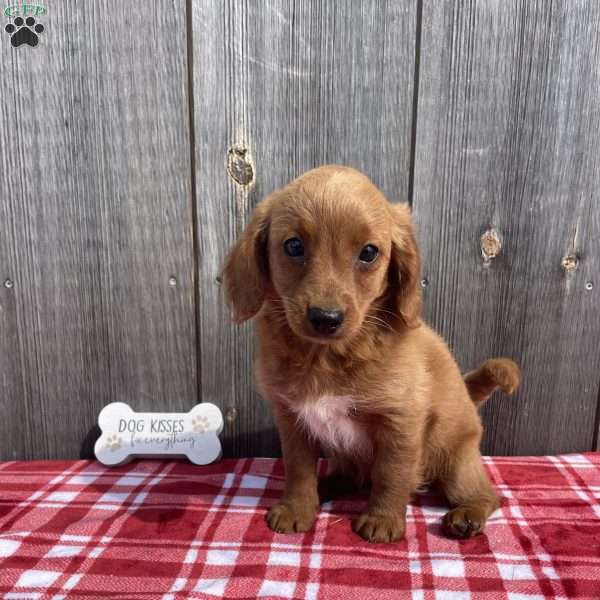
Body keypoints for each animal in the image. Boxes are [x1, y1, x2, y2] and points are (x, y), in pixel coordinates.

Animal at [223, 165, 516, 544]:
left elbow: (391, 474)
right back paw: (326, 486)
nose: (326, 318)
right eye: (293, 246)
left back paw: (467, 515)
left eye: (369, 253)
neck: (326, 358)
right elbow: (298, 470)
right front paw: (297, 508)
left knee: (488, 495)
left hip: (457, 462)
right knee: (352, 475)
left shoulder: (400, 422)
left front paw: (382, 519)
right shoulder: (292, 419)